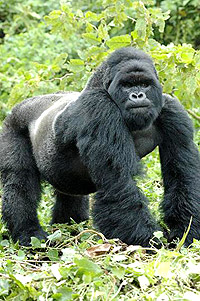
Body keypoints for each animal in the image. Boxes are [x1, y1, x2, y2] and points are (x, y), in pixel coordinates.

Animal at [0, 47, 200, 246]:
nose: (137, 95)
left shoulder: (173, 111)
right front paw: (149, 241)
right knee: (19, 182)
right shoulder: (99, 108)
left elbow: (183, 176)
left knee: (69, 195)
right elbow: (119, 184)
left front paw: (186, 233)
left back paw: (68, 229)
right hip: (13, 123)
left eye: (144, 84)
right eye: (126, 85)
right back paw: (28, 232)